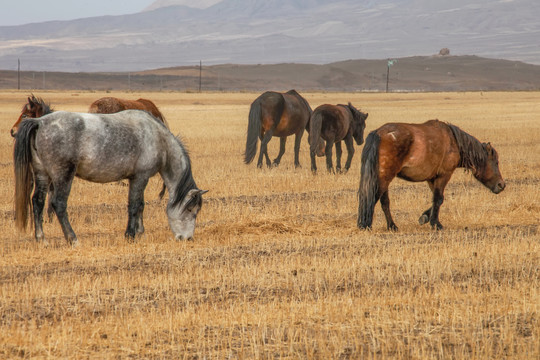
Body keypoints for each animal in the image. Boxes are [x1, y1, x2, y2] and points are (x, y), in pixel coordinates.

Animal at [13, 109, 207, 245]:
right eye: (191, 210)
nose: (187, 238)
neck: (158, 138)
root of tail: (40, 121)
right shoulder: (140, 178)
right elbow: (134, 206)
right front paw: (130, 235)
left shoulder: (136, 179)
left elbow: (141, 205)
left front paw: (141, 233)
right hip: (63, 176)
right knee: (58, 204)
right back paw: (73, 239)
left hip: (42, 174)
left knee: (37, 202)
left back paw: (42, 239)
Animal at [358, 119, 506, 231]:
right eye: (496, 162)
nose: (501, 185)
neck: (454, 141)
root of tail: (378, 133)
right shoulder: (444, 175)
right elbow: (439, 199)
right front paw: (436, 224)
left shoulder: (432, 178)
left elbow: (435, 200)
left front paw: (425, 217)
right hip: (385, 178)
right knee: (374, 197)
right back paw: (365, 224)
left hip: (384, 178)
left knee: (384, 202)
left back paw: (392, 226)